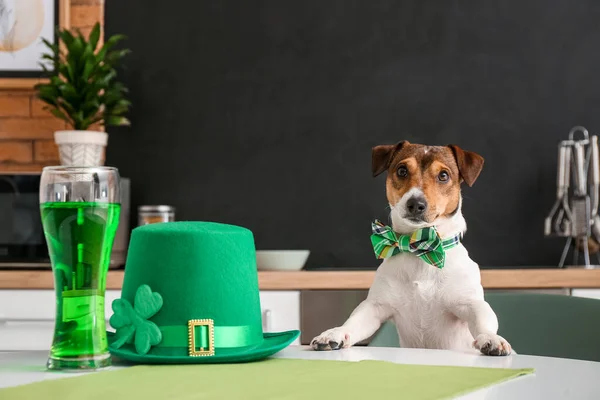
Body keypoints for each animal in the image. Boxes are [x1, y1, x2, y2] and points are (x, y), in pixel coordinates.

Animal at [312, 141, 512, 356]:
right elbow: (354, 322)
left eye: (443, 175)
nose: (416, 204)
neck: (420, 249)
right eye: (402, 170)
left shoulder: (470, 303)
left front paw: (491, 338)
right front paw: (335, 333)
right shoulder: (375, 307)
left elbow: (483, 319)